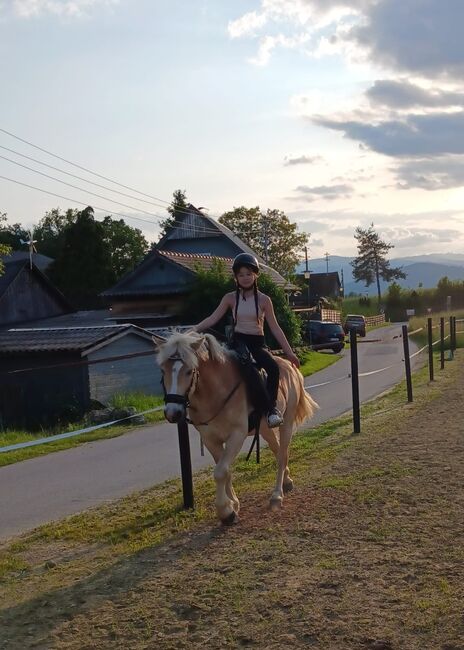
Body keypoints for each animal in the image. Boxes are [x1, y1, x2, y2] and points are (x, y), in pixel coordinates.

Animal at [154, 330, 318, 520]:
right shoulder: (210, 440)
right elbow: (225, 471)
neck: (215, 392)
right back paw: (287, 481)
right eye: (162, 370)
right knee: (277, 451)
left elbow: (220, 472)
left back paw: (277, 496)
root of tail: (290, 365)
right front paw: (234, 504)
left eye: (188, 371)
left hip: (287, 422)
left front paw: (225, 511)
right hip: (265, 429)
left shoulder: (237, 435)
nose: (173, 412)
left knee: (283, 454)